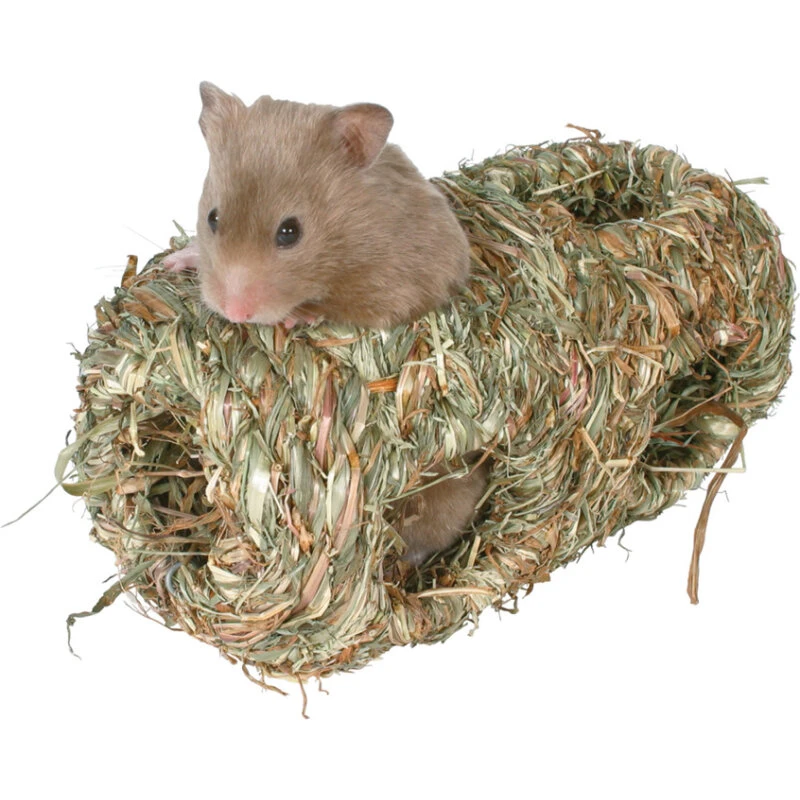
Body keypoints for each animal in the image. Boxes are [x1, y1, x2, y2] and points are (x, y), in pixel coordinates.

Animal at [165, 82, 488, 565]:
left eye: (290, 231)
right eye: (213, 218)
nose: (234, 311)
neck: (343, 239)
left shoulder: (398, 283)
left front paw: (299, 315)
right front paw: (177, 260)